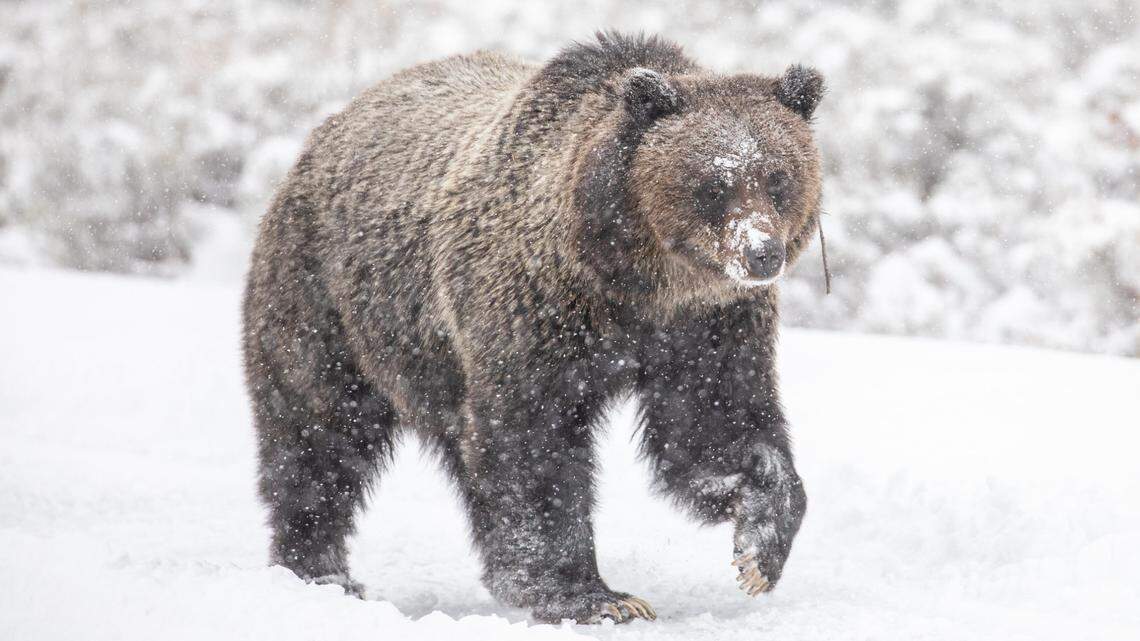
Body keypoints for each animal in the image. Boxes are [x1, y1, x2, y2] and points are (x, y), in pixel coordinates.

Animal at [242, 31, 824, 624]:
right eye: (712, 184)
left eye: (778, 179)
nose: (761, 253)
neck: (634, 286)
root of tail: (327, 128)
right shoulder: (535, 311)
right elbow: (534, 443)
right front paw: (592, 595)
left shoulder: (709, 329)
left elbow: (717, 425)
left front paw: (759, 548)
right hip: (331, 305)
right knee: (319, 435)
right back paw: (320, 571)